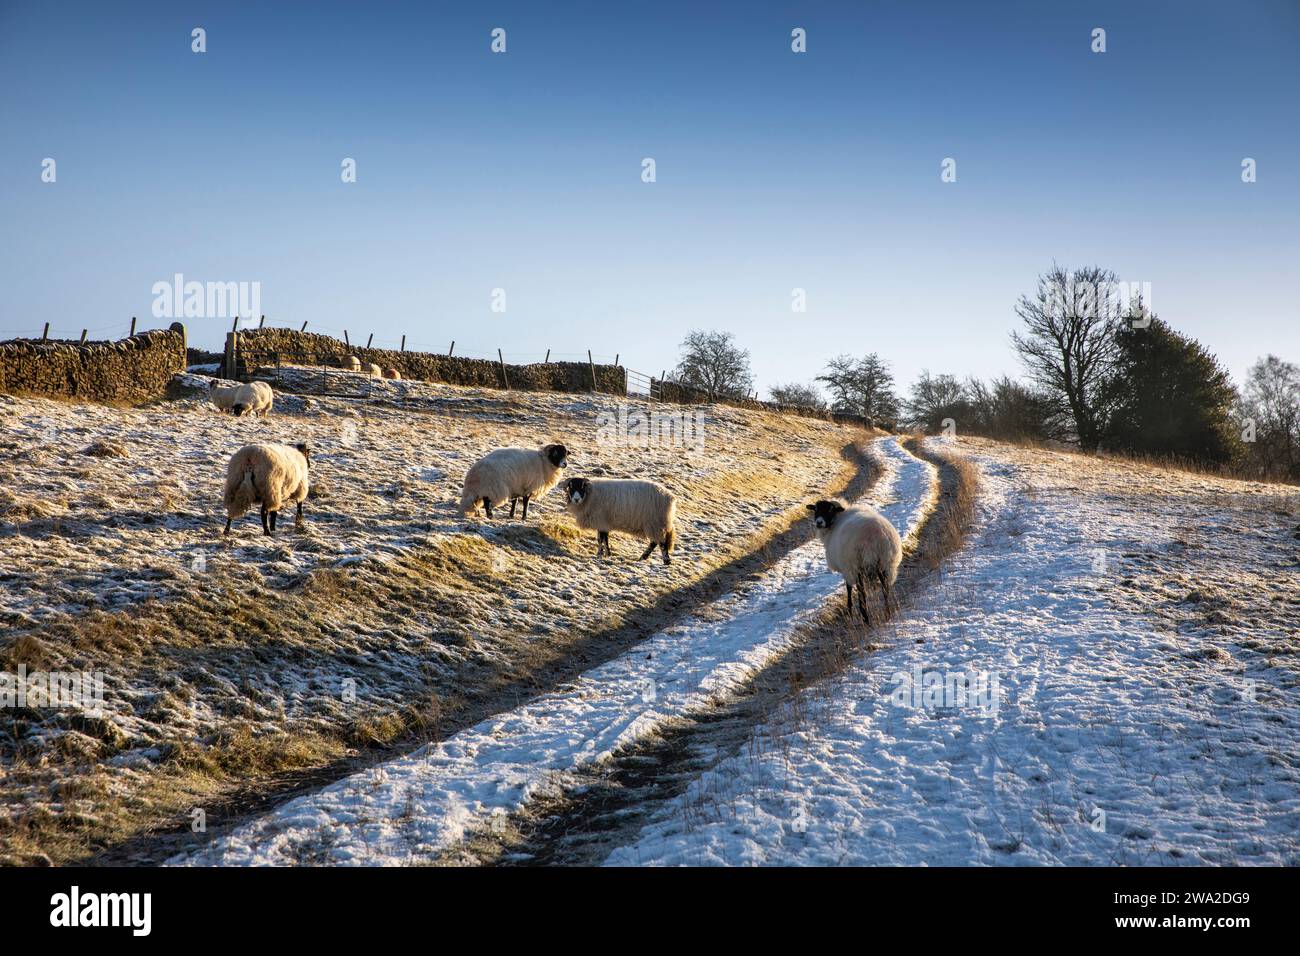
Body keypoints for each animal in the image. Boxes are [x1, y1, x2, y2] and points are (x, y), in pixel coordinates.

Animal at [806, 496, 899, 624]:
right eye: (815, 509)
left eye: (830, 509)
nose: (819, 522)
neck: (835, 522)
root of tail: (876, 536)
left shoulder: (847, 568)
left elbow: (848, 588)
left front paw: (849, 611)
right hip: (885, 563)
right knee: (885, 589)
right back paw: (887, 613)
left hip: (858, 564)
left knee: (862, 592)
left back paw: (865, 618)